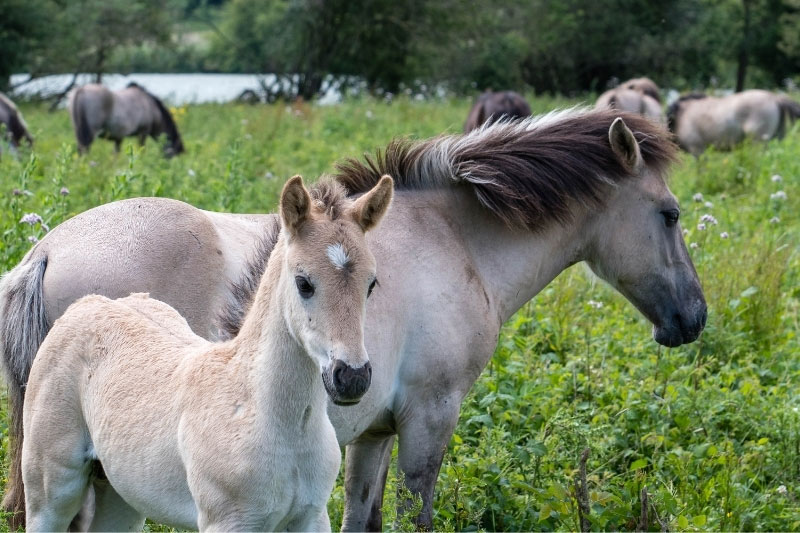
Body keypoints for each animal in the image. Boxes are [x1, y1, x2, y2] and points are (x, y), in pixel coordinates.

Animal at [20, 175, 393, 532]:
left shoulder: (311, 517)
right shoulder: (227, 521)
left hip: (121, 497)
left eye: (371, 284)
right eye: (304, 283)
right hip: (51, 491)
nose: (352, 377)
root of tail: (88, 303)